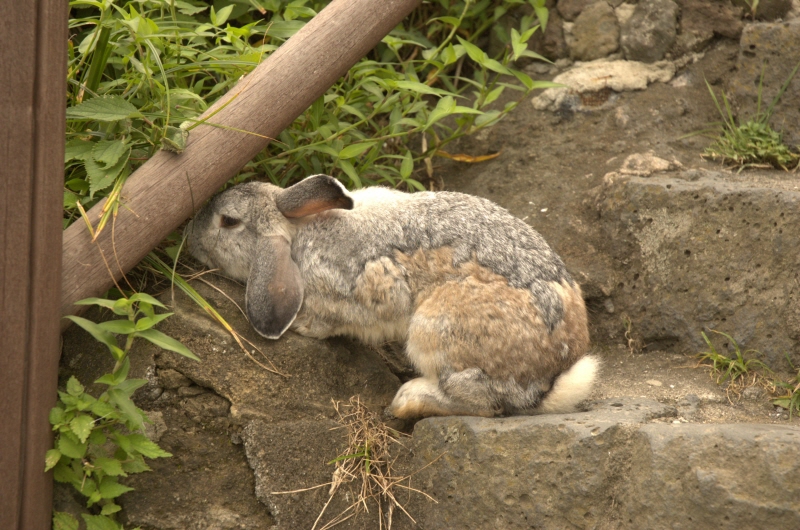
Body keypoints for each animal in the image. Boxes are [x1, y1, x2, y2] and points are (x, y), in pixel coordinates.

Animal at [188, 173, 596, 416]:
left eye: (228, 222)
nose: (191, 240)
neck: (300, 230)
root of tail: (548, 381)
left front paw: (303, 326)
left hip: (436, 329)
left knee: (480, 403)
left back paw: (407, 401)